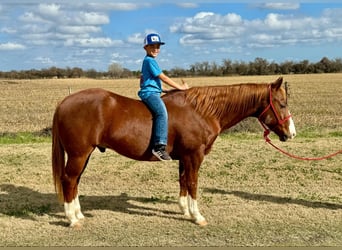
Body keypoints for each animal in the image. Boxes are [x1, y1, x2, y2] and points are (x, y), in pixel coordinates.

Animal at [52, 77, 296, 228]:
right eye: (282, 104)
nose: (291, 133)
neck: (201, 111)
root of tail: (64, 101)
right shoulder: (195, 155)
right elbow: (193, 183)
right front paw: (197, 216)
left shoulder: (184, 157)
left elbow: (183, 182)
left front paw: (185, 211)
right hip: (79, 154)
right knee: (69, 180)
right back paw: (72, 219)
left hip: (84, 155)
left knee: (75, 181)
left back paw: (79, 214)